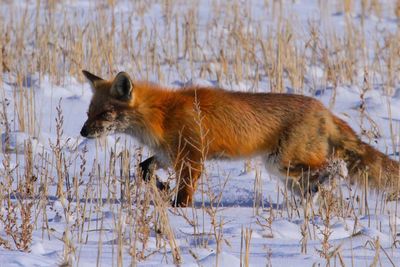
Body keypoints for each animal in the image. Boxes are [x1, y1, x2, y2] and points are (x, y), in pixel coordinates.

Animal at [79, 70, 398, 206]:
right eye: (88, 112)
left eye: (105, 114)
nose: (83, 132)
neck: (162, 115)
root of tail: (325, 110)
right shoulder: (169, 154)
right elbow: (143, 170)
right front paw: (161, 187)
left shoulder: (192, 158)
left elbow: (184, 193)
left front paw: (179, 211)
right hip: (284, 172)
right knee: (314, 185)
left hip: (281, 163)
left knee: (334, 169)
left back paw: (331, 180)